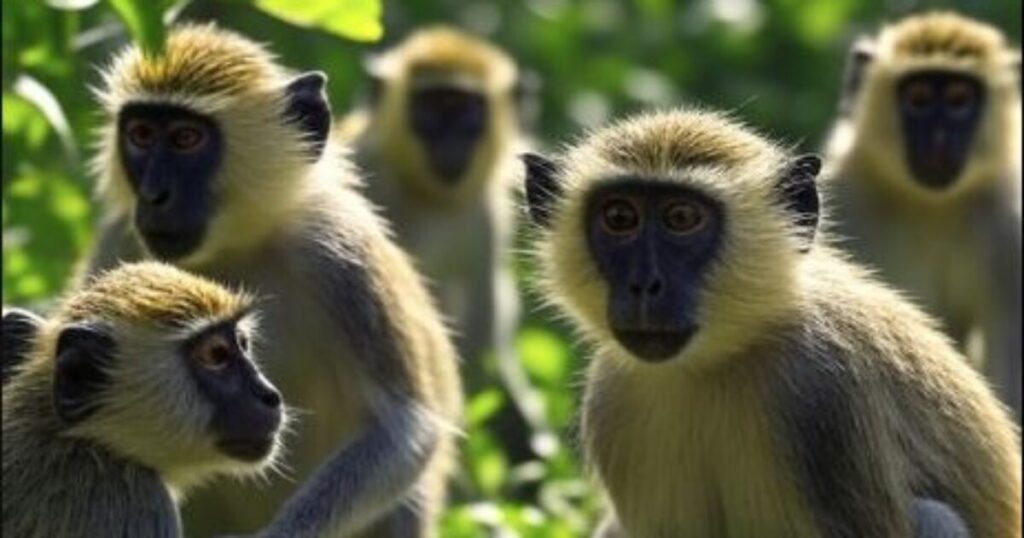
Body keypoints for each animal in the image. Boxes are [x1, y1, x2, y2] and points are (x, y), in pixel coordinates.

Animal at [78, 24, 462, 537]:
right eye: (140, 135)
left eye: (185, 138)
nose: (154, 195)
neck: (235, 247)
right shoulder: (121, 238)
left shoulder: (338, 253)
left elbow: (405, 429)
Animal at [339, 26, 549, 475]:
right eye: (430, 109)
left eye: (467, 110)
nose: (449, 140)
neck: (430, 197)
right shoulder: (368, 167)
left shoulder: (485, 219)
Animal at [521, 109, 1021, 537]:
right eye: (620, 218)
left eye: (682, 218)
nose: (645, 285)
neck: (719, 361)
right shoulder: (614, 400)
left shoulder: (822, 395)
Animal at [822, 11, 1022, 421]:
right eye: (918, 99)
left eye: (960, 100)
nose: (939, 138)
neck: (930, 205)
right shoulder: (846, 197)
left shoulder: (1008, 221)